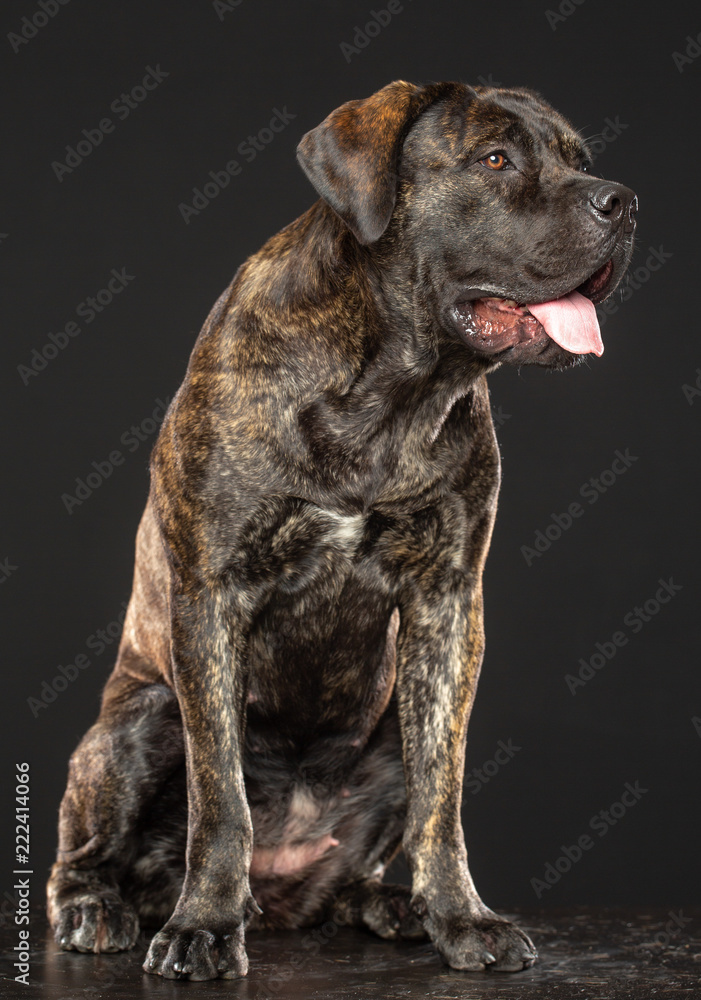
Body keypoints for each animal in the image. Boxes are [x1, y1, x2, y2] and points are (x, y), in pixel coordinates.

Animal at [45, 80, 636, 984]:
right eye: (495, 159)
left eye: (578, 158)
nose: (623, 202)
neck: (389, 385)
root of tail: (280, 890)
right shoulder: (210, 598)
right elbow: (220, 800)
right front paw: (204, 926)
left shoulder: (446, 601)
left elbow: (441, 798)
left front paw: (462, 918)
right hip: (141, 718)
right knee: (85, 858)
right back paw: (99, 909)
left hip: (381, 732)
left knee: (356, 869)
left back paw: (394, 906)